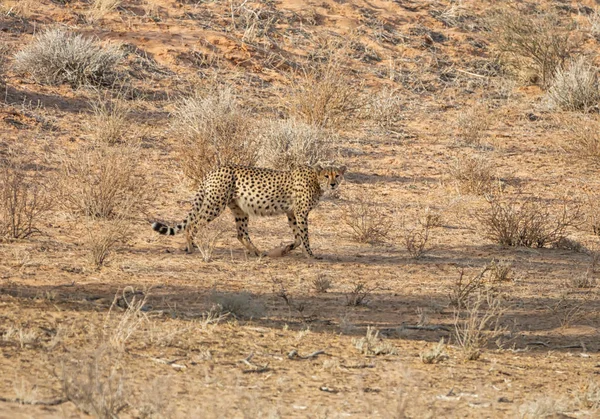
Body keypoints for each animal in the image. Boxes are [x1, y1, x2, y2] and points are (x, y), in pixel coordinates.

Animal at [151, 164, 346, 260]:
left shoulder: (291, 213)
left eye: (337, 175)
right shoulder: (300, 213)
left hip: (239, 210)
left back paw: (258, 252)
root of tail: (215, 169)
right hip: (215, 204)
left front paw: (284, 250)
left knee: (241, 234)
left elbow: (297, 237)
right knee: (193, 224)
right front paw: (310, 255)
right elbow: (304, 236)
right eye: (327, 175)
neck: (316, 180)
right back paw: (192, 247)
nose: (333, 184)